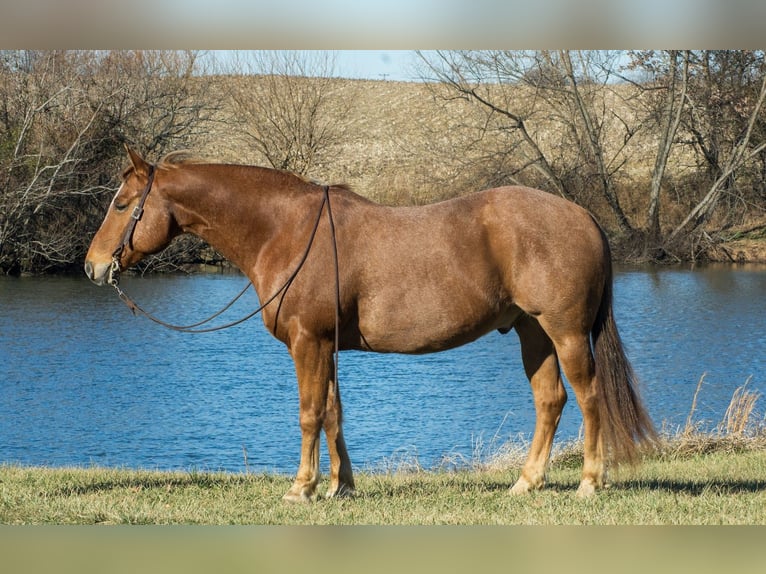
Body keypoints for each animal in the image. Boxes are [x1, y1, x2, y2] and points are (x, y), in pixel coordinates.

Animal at [85, 146, 656, 500]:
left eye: (122, 204)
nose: (92, 266)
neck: (285, 231)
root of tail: (583, 216)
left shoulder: (307, 342)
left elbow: (310, 414)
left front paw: (302, 488)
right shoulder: (325, 345)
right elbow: (334, 413)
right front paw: (341, 486)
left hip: (565, 332)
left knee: (588, 397)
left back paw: (589, 481)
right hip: (532, 332)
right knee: (550, 400)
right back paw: (527, 481)